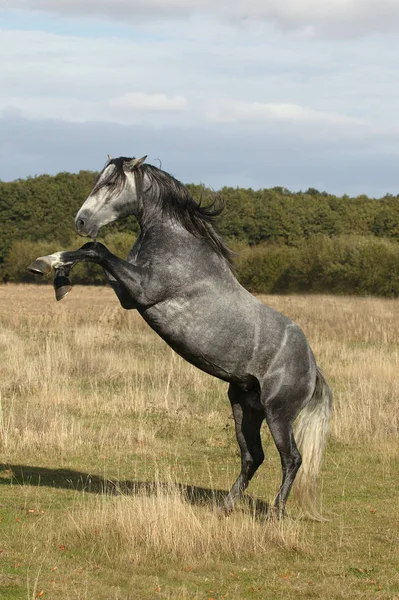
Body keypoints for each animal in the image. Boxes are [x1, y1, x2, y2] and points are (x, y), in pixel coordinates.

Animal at [28, 156, 332, 520]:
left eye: (112, 184)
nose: (82, 221)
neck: (176, 244)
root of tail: (313, 367)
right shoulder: (128, 294)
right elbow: (91, 250)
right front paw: (55, 272)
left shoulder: (142, 291)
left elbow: (98, 249)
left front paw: (48, 265)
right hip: (244, 407)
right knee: (252, 457)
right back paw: (224, 507)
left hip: (279, 414)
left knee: (291, 459)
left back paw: (275, 513)